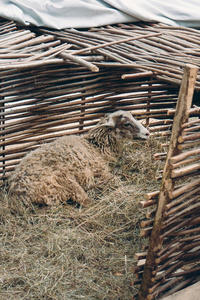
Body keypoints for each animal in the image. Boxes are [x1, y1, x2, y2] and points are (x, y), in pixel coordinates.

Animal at [7, 110, 149, 206]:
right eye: (126, 124)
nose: (147, 133)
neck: (96, 146)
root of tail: (17, 191)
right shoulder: (101, 171)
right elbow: (117, 181)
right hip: (66, 181)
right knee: (86, 201)